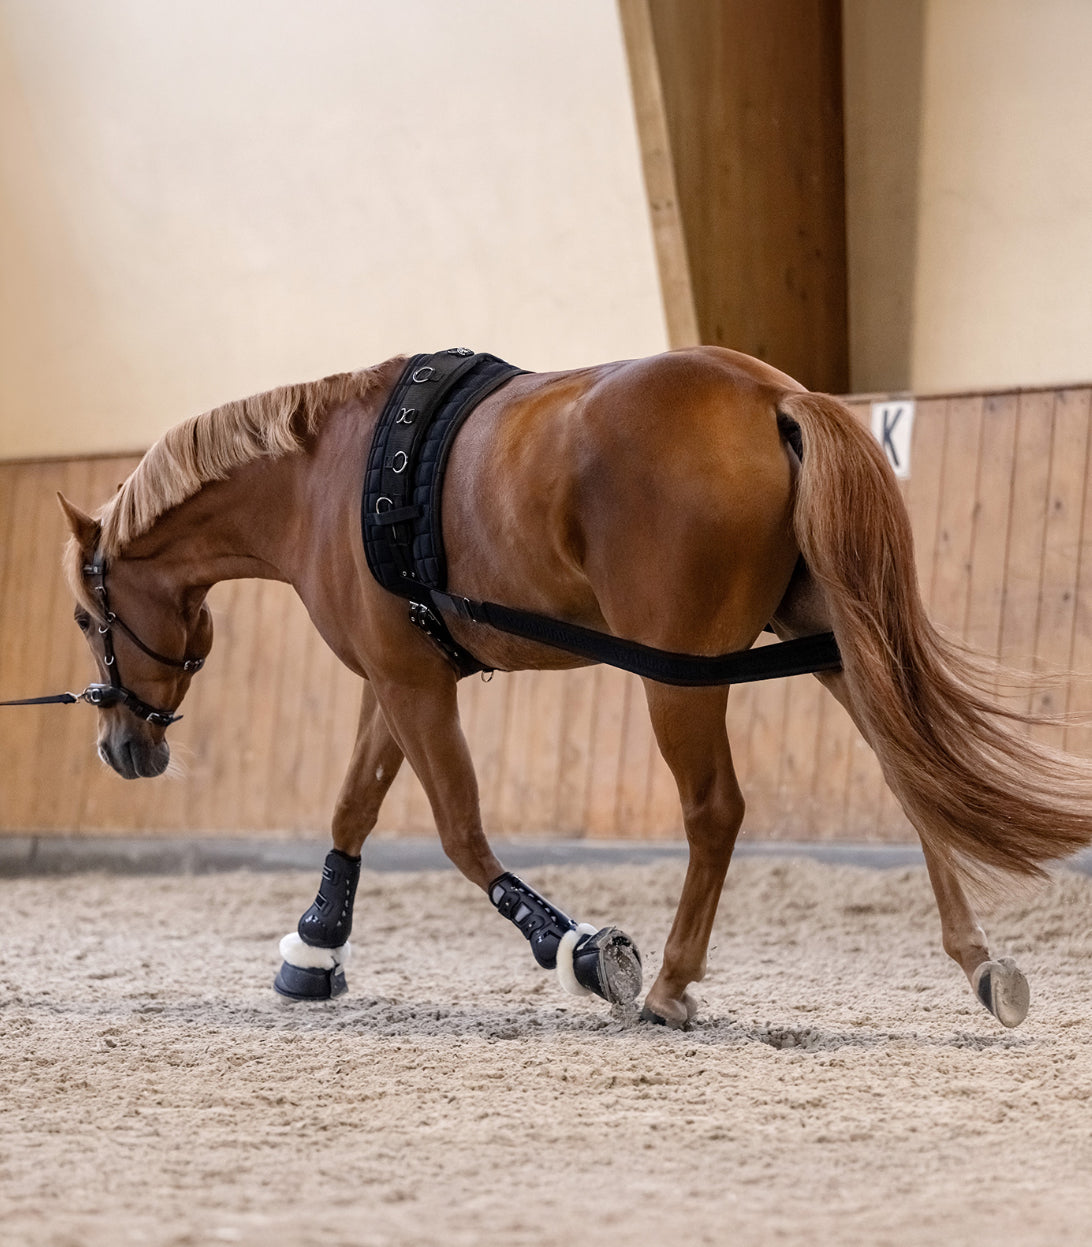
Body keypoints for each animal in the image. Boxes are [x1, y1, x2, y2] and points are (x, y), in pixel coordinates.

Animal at [57, 345, 1092, 1029]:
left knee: (716, 809)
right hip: (834, 644)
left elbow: (460, 832)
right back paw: (979, 961)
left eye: (80, 618)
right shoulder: (399, 677)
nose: (121, 747)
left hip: (681, 677)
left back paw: (670, 983)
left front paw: (583, 951)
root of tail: (775, 395)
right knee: (912, 781)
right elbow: (355, 805)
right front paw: (313, 947)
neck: (330, 477)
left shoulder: (410, 683)